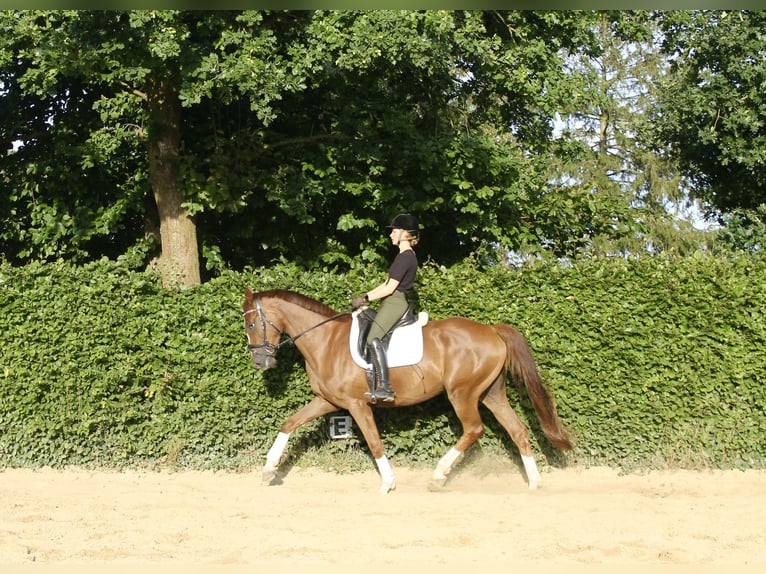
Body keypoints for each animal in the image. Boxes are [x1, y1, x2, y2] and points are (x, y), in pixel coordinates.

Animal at [243, 288, 572, 496]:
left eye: (251, 323)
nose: (260, 362)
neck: (325, 340)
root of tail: (492, 330)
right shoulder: (326, 400)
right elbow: (289, 423)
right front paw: (269, 470)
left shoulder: (356, 404)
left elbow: (374, 442)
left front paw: (387, 483)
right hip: (492, 393)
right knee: (517, 430)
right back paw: (534, 483)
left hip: (462, 393)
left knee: (473, 429)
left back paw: (438, 476)